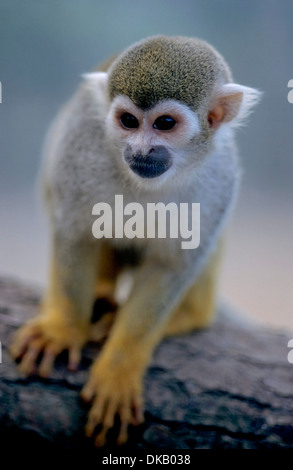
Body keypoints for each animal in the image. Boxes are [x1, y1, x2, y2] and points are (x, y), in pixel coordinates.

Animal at [9, 35, 260, 446]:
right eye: (128, 121)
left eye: (165, 124)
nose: (141, 150)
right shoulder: (82, 143)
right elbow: (75, 231)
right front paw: (63, 328)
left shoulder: (218, 176)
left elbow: (173, 265)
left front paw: (119, 369)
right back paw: (102, 296)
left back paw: (187, 315)